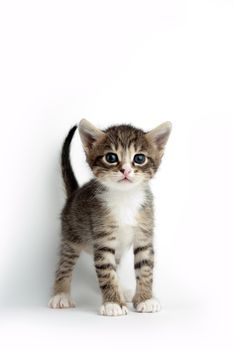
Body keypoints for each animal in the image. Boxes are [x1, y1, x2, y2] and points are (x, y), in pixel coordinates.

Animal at [48, 119, 171, 316]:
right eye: (111, 158)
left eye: (139, 158)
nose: (126, 170)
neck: (125, 198)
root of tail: (73, 194)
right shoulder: (103, 239)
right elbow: (107, 273)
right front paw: (113, 303)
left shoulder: (144, 234)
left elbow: (145, 268)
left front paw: (145, 298)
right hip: (70, 238)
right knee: (64, 265)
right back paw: (61, 295)